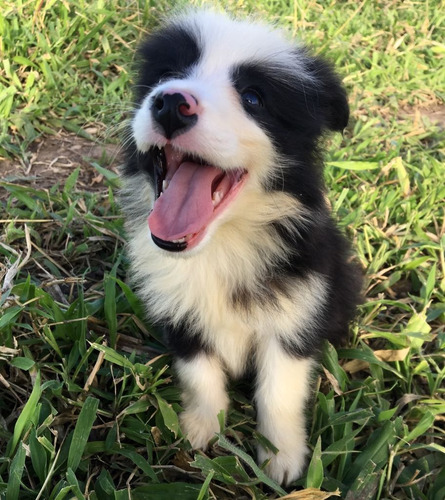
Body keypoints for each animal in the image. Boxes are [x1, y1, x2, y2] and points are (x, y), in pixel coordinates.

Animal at [120, 8, 360, 484]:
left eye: (253, 98)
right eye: (168, 73)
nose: (170, 103)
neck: (221, 245)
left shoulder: (295, 313)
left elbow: (279, 389)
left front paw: (281, 458)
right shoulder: (181, 311)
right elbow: (199, 373)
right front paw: (200, 429)